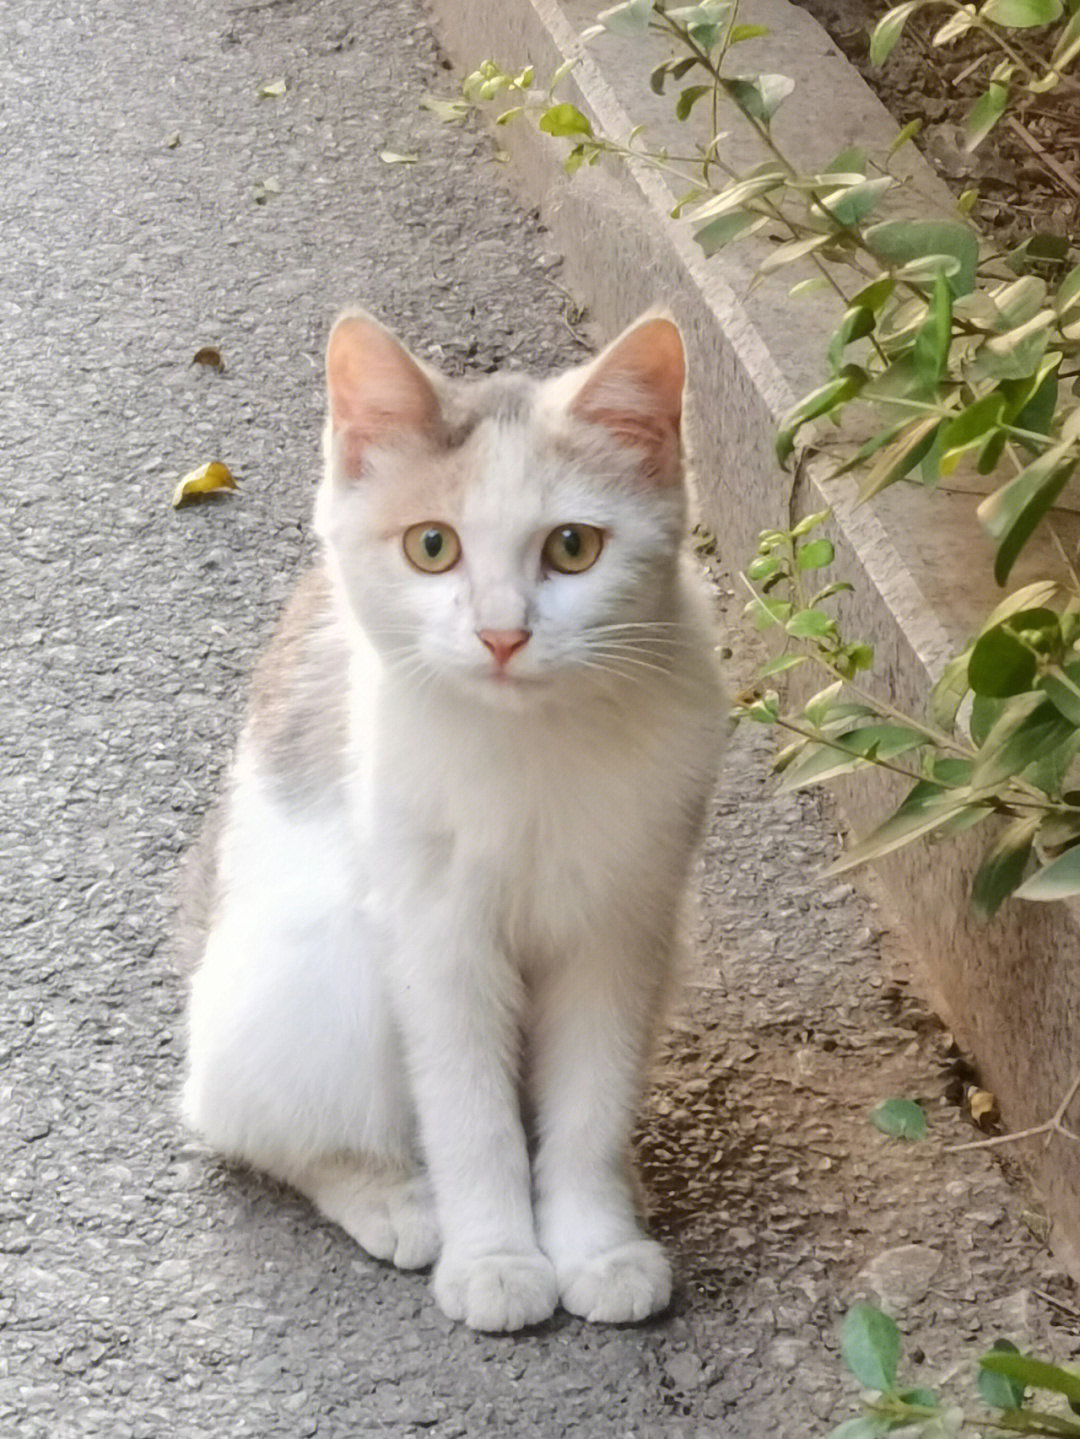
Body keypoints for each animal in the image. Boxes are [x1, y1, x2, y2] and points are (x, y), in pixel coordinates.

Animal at [181, 309, 727, 1329]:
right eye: (431, 546)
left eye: (574, 548)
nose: (503, 635)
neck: (530, 746)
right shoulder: (437, 938)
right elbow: (470, 1115)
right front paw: (497, 1256)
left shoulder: (621, 929)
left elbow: (590, 1103)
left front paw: (595, 1239)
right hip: (314, 963)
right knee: (253, 1125)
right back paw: (391, 1195)